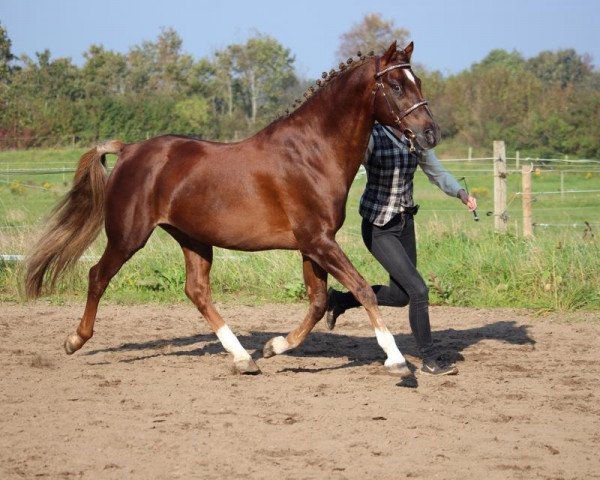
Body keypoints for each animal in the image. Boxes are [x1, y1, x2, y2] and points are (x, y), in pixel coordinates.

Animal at [24, 42, 440, 376]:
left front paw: (272, 347)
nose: (430, 133)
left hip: (193, 239)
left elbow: (320, 302)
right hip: (128, 236)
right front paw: (396, 361)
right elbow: (362, 289)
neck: (312, 152)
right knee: (98, 276)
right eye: (397, 85)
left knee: (197, 291)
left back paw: (244, 358)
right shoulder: (319, 242)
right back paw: (75, 340)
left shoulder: (313, 245)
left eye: (418, 81)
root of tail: (128, 151)